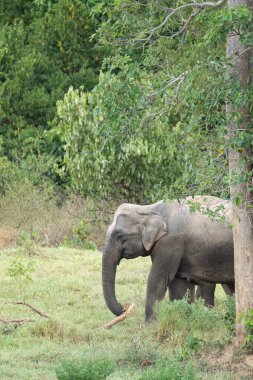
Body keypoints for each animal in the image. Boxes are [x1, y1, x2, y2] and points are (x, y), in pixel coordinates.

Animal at [101, 196, 233, 320]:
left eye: (119, 235)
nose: (123, 307)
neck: (149, 209)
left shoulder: (170, 242)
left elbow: (158, 279)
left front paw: (151, 324)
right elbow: (179, 284)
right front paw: (182, 319)